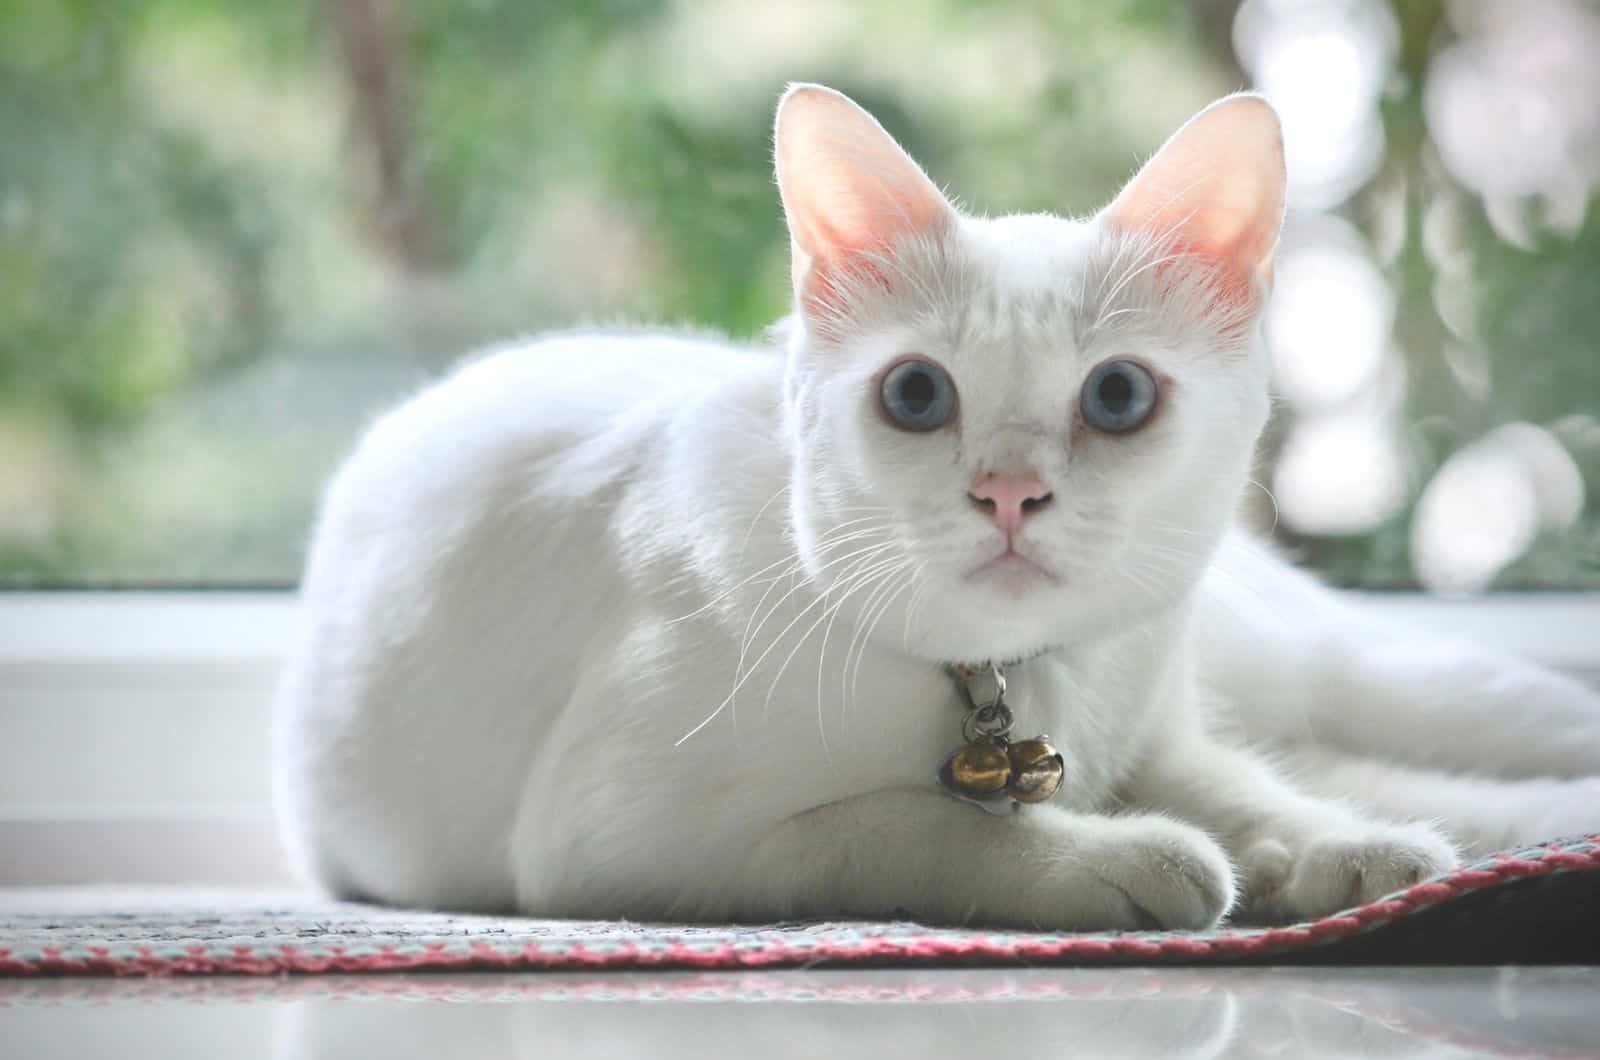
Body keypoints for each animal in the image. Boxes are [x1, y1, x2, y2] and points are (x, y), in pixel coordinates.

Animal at [275, 85, 1600, 928]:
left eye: (1117, 395)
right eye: (916, 395)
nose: (1008, 489)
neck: (1008, 684)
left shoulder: (1165, 739)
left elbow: (1250, 796)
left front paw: (1334, 850)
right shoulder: (623, 846)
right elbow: (912, 823)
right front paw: (1137, 857)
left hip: (1362, 670)